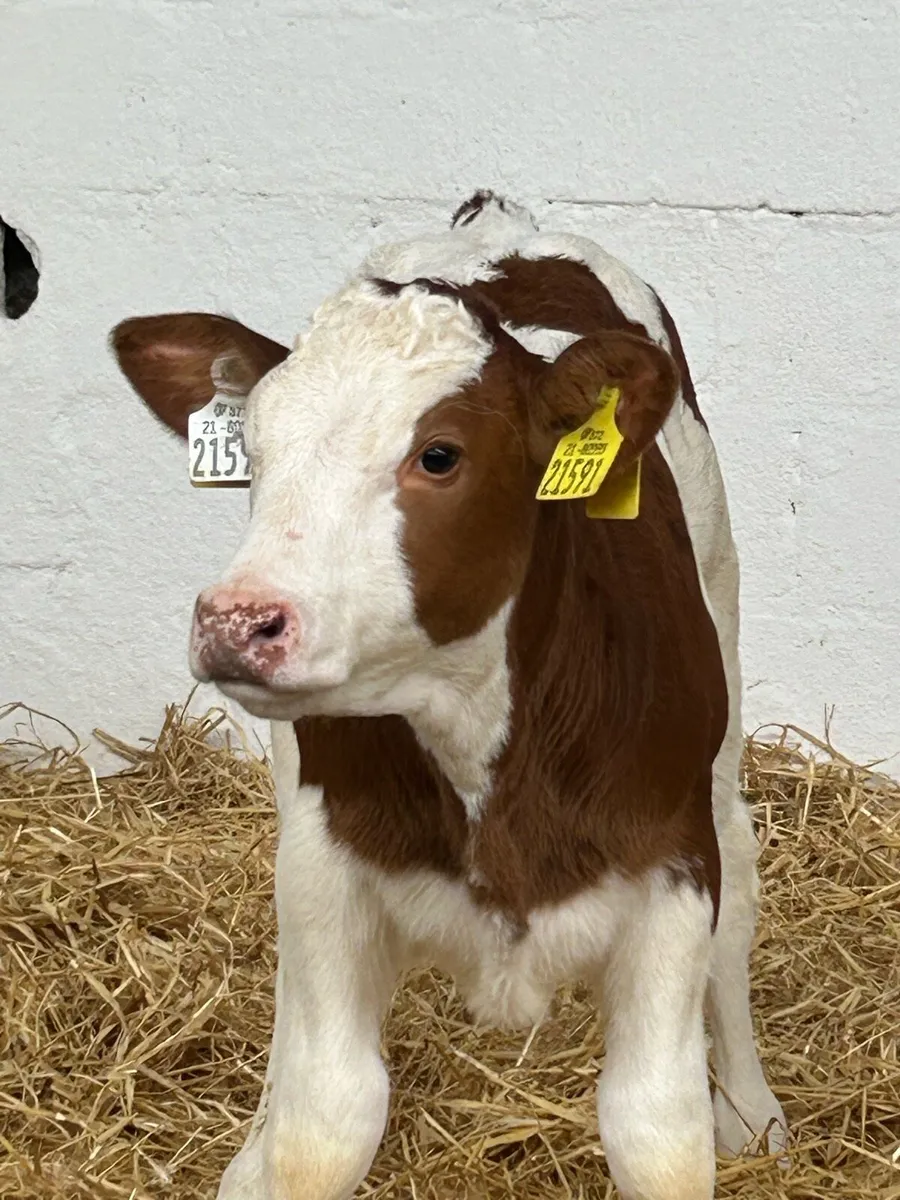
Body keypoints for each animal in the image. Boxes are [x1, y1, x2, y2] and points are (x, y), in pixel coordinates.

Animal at [111, 192, 787, 1200]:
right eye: (254, 454)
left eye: (439, 455)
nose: (235, 620)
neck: (478, 743)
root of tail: (495, 219)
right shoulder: (326, 857)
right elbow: (324, 1119)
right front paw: (271, 1150)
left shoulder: (670, 869)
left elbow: (656, 1132)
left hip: (724, 646)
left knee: (740, 870)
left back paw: (750, 1105)